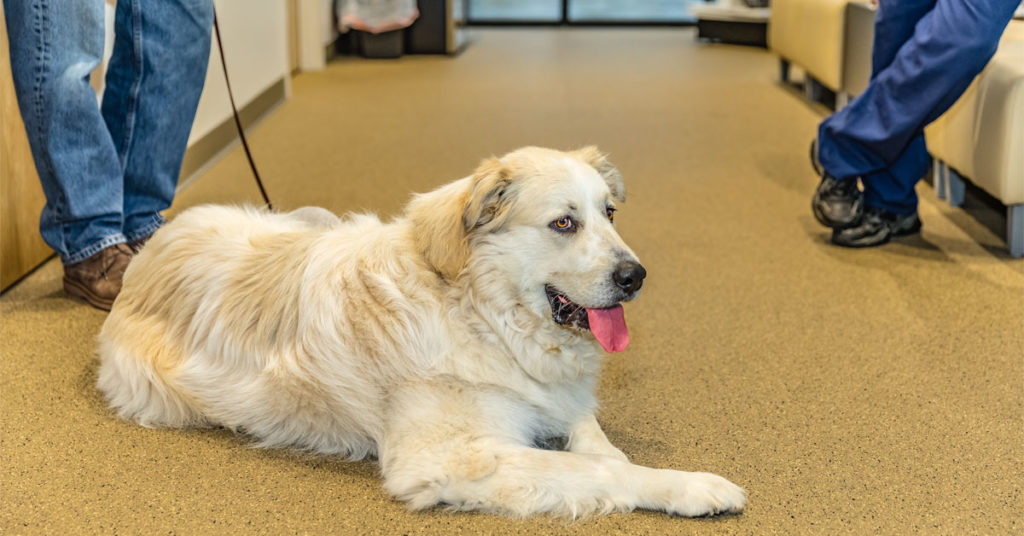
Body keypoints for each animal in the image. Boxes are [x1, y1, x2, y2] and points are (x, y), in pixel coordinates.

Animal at [97, 146, 745, 520]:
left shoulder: (556, 399)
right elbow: (598, 471)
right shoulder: (452, 458)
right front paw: (691, 488)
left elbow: (596, 441)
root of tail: (151, 246)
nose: (636, 276)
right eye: (565, 223)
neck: (482, 314)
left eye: (609, 213)